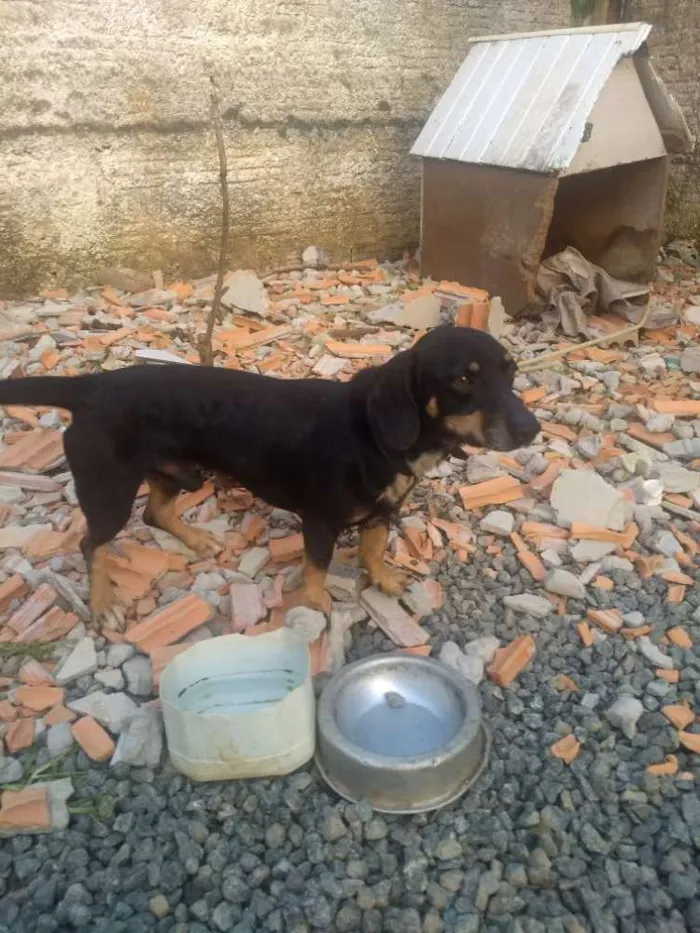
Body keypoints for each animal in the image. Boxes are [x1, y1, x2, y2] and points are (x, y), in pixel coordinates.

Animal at [0, 326, 540, 628]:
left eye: (511, 371)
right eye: (464, 379)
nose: (532, 429)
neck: (374, 433)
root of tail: (90, 385)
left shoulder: (384, 512)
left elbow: (373, 549)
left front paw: (384, 578)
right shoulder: (319, 521)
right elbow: (318, 567)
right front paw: (316, 605)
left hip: (178, 473)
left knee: (155, 512)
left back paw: (197, 541)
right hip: (109, 493)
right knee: (91, 544)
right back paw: (102, 603)